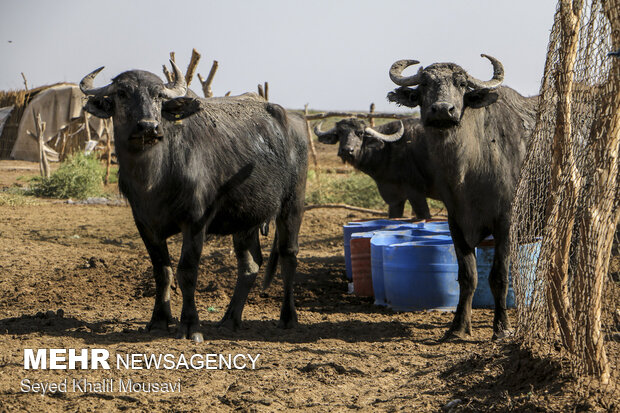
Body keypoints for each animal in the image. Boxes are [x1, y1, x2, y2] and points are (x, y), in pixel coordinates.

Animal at [80, 61, 308, 342]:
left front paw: (190, 325)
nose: (148, 126)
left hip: (293, 203)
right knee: (250, 264)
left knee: (289, 256)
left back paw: (287, 318)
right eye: (122, 93)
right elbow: (162, 271)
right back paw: (230, 319)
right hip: (246, 220)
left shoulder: (196, 221)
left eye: (158, 95)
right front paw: (159, 320)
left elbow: (187, 271)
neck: (154, 178)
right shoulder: (144, 224)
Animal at [388, 54, 536, 338]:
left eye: (461, 84)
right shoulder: (455, 221)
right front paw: (457, 328)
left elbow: (499, 276)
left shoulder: (506, 222)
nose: (443, 110)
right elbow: (467, 276)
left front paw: (502, 328)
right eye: (425, 83)